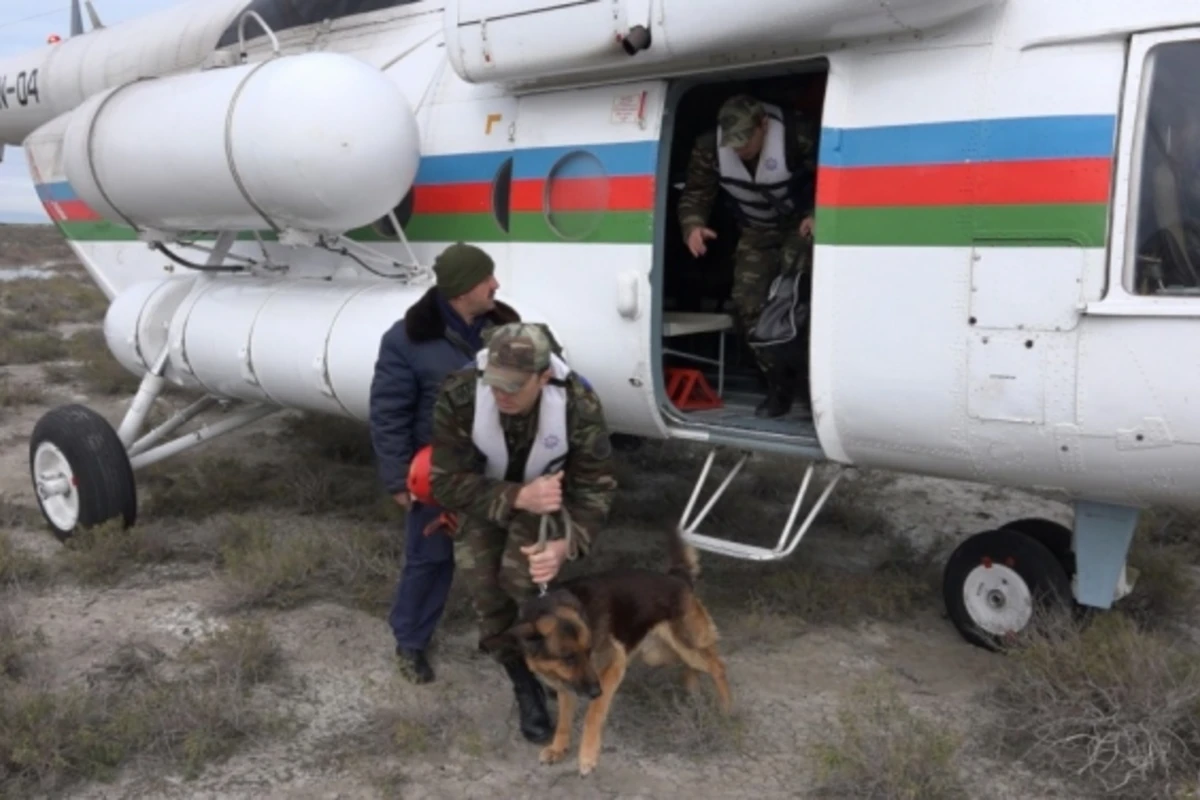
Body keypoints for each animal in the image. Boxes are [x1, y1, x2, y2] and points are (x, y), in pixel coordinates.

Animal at [504, 525, 729, 777]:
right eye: (568, 658)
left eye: (589, 651)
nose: (595, 691)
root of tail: (676, 577)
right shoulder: (568, 684)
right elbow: (564, 719)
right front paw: (558, 748)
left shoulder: (612, 665)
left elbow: (593, 714)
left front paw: (587, 756)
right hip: (657, 654)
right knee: (693, 663)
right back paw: (693, 689)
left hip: (684, 644)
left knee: (717, 664)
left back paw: (727, 709)